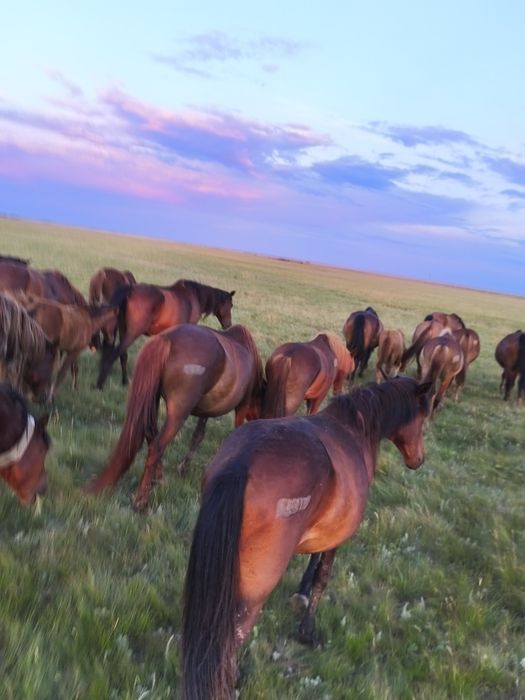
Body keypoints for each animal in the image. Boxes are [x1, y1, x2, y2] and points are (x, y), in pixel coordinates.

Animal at [85, 323, 265, 510]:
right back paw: (141, 500)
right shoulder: (242, 405)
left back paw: (157, 477)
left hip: (153, 401)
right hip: (177, 415)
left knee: (151, 435)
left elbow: (197, 436)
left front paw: (183, 468)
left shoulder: (206, 411)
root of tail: (167, 339)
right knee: (157, 446)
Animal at [96, 279, 236, 389]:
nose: (228, 325)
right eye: (231, 305)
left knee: (122, 354)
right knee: (116, 353)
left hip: (123, 330)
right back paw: (100, 384)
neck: (194, 298)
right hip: (132, 332)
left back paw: (124, 382)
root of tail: (130, 290)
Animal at [181, 377, 432, 699]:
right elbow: (322, 577)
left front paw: (300, 591)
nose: (418, 459)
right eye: (424, 414)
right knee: (234, 632)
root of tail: (242, 462)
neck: (354, 430)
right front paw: (307, 630)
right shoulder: (337, 538)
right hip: (252, 591)